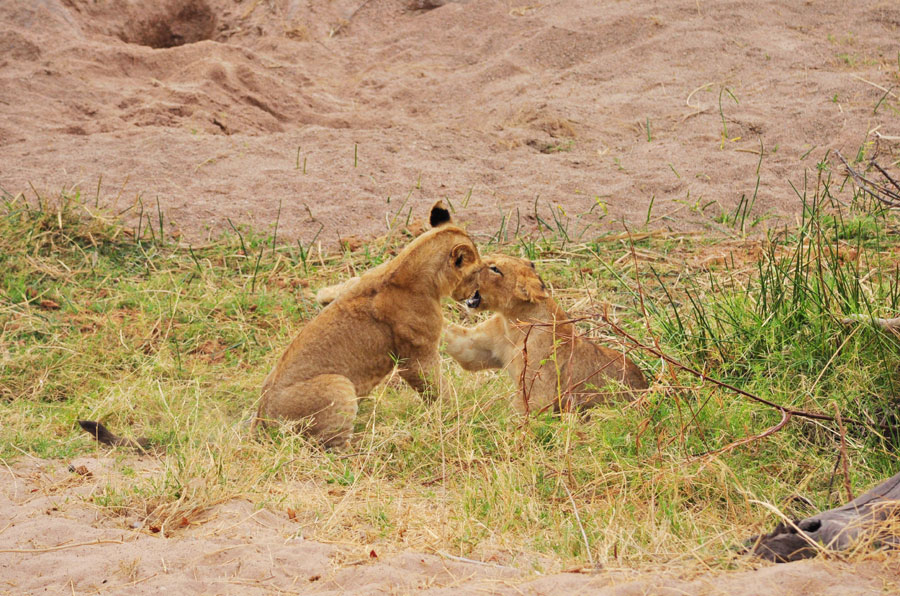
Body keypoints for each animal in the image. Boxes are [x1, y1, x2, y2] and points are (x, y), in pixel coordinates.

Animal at [252, 201, 481, 448]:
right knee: (333, 447)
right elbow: (438, 388)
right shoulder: (416, 359)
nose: (476, 295)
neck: (406, 268)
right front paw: (457, 412)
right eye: (478, 271)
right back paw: (385, 438)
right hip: (339, 385)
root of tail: (261, 423)